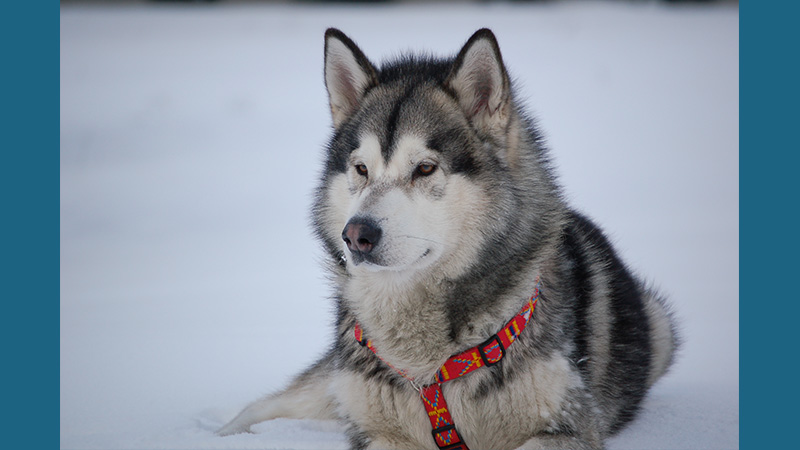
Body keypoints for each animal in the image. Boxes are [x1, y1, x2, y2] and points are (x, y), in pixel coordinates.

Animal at [219, 29, 680, 450]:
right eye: (361, 169)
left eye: (424, 168)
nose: (356, 235)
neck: (427, 366)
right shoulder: (376, 432)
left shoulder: (567, 426)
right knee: (266, 405)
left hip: (659, 326)